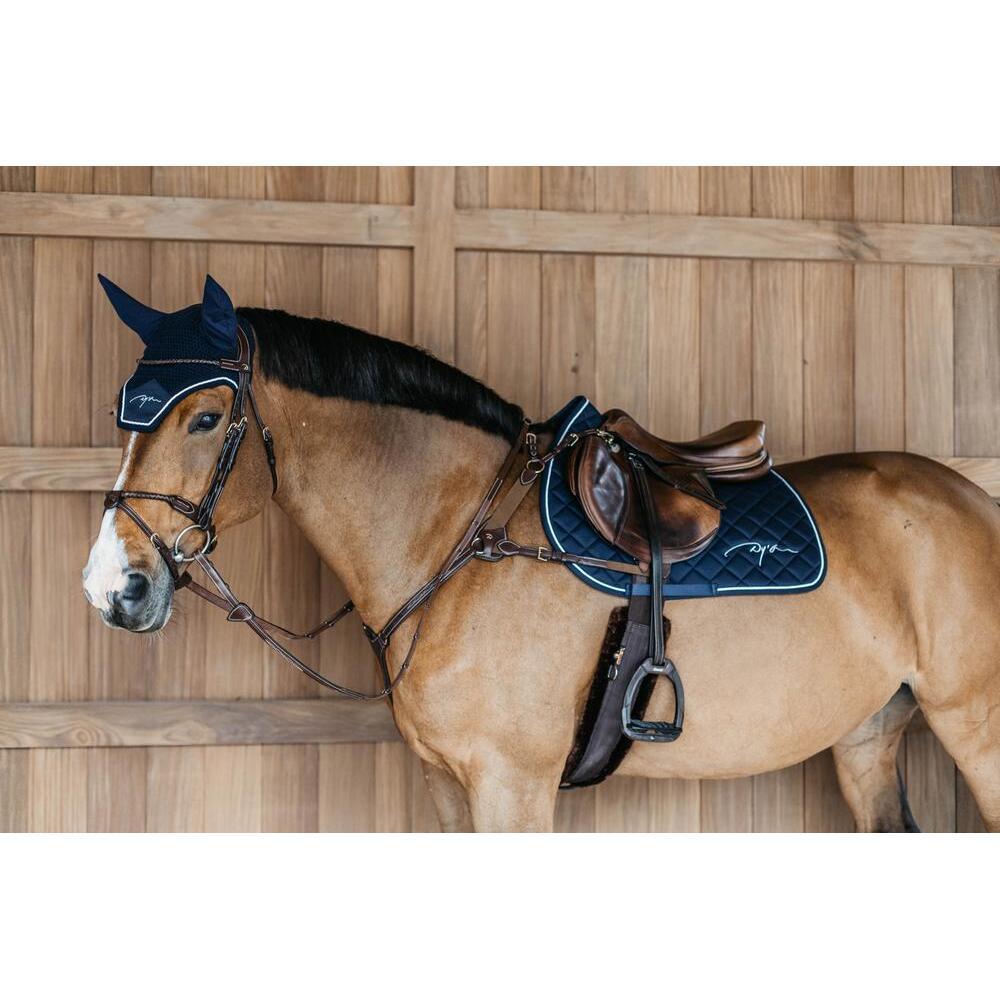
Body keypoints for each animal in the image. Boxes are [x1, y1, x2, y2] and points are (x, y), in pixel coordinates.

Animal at [83, 285, 1000, 832]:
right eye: (126, 413)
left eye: (204, 418)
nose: (112, 587)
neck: (457, 542)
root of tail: (973, 502)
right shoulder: (448, 785)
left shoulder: (511, 786)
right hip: (869, 736)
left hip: (975, 730)